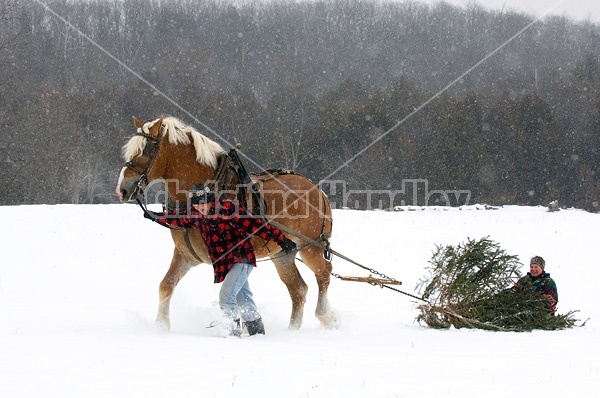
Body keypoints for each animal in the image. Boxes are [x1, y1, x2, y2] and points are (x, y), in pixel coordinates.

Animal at [115, 116, 336, 332]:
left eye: (146, 150)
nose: (122, 190)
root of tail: (318, 190)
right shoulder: (185, 255)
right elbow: (166, 285)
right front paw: (161, 327)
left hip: (310, 246)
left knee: (324, 272)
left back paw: (325, 316)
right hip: (283, 254)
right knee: (298, 289)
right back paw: (292, 330)